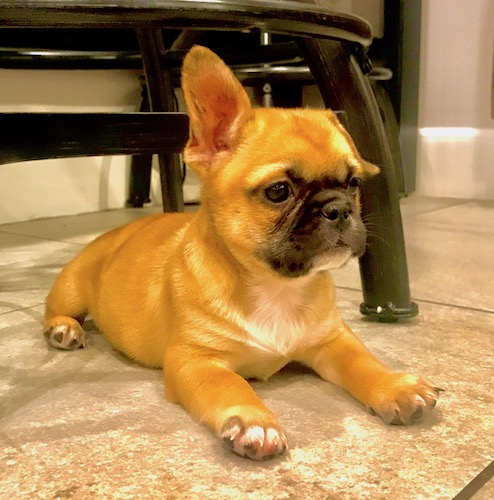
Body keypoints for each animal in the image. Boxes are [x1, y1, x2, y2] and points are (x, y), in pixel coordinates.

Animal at [44, 46, 440, 460]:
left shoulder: (333, 340)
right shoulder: (195, 361)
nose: (339, 208)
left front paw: (395, 385)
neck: (275, 286)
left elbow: (362, 360)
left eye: (354, 184)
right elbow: (230, 386)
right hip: (71, 288)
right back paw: (64, 329)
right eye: (278, 191)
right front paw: (253, 420)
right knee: (54, 309)